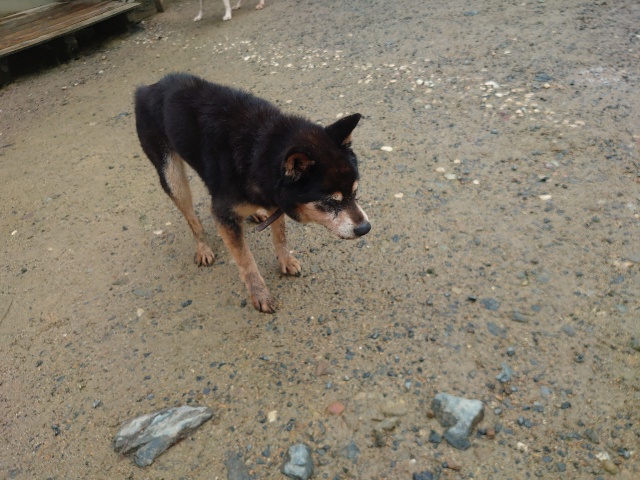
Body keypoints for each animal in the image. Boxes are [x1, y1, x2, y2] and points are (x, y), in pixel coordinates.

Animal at [134, 73, 370, 312]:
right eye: (330, 201)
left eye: (355, 192)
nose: (365, 228)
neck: (259, 151)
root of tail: (149, 87)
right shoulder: (224, 215)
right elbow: (246, 261)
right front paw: (260, 293)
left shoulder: (275, 199)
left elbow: (280, 236)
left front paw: (285, 260)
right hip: (172, 175)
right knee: (191, 216)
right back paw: (203, 247)